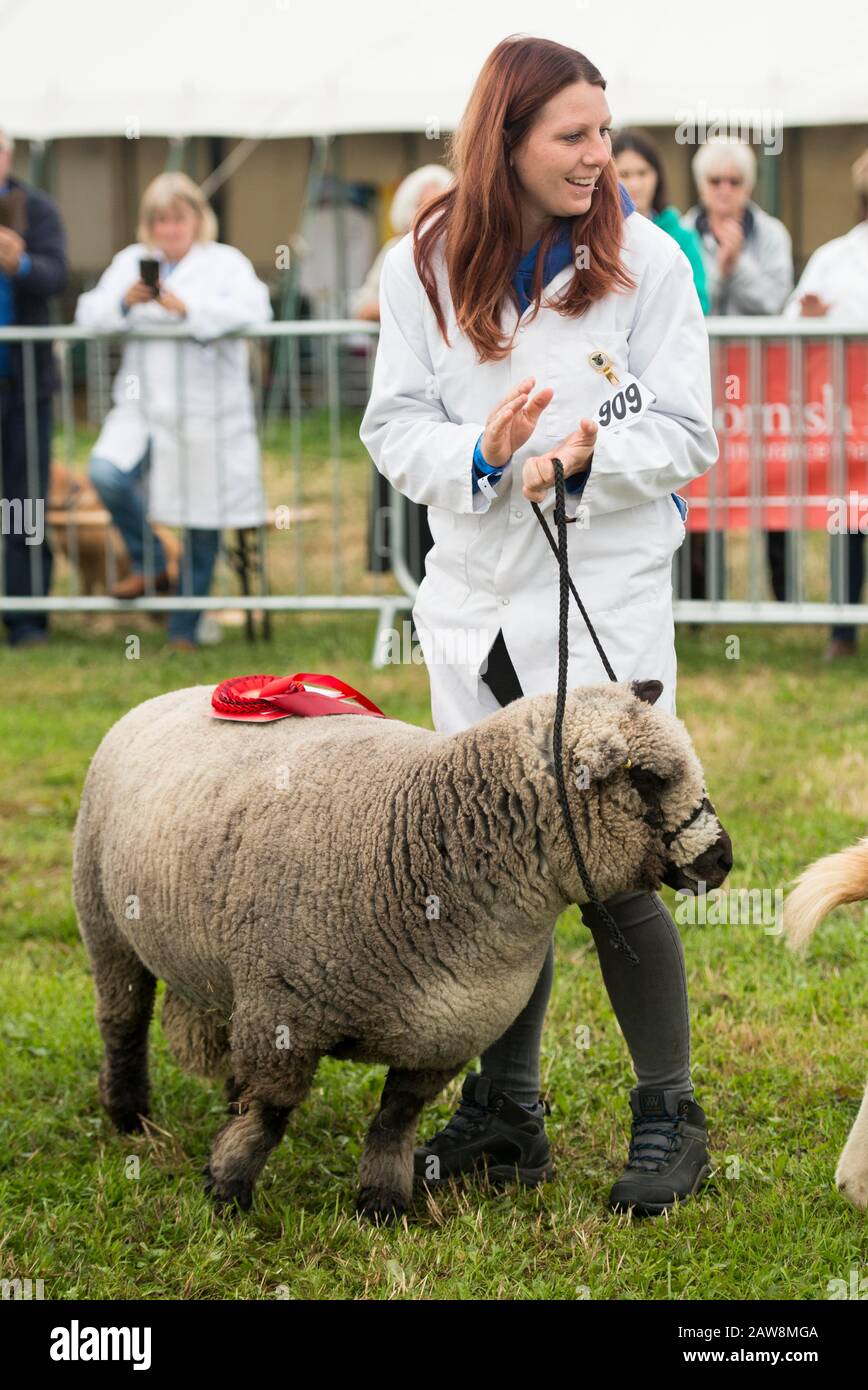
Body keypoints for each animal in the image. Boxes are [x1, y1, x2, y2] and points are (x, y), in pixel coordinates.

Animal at [71, 678, 728, 1223]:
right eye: (648, 779)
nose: (722, 860)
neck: (420, 831)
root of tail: (171, 694)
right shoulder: (283, 1015)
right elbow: (270, 1116)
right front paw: (226, 1191)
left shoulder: (446, 1030)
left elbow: (395, 1120)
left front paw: (382, 1204)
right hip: (105, 924)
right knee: (122, 1022)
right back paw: (129, 1116)